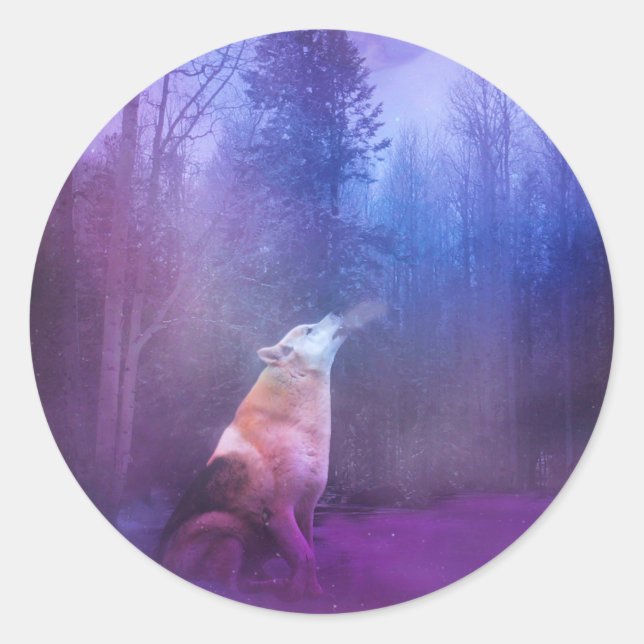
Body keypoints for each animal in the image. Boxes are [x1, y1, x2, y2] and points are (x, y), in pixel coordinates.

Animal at [157, 312, 350, 599]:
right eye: (308, 330)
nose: (335, 312)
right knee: (229, 587)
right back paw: (273, 588)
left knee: (247, 578)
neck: (295, 424)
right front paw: (297, 594)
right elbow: (304, 556)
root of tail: (160, 559)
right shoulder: (280, 512)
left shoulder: (306, 510)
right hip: (227, 536)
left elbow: (311, 553)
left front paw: (314, 592)